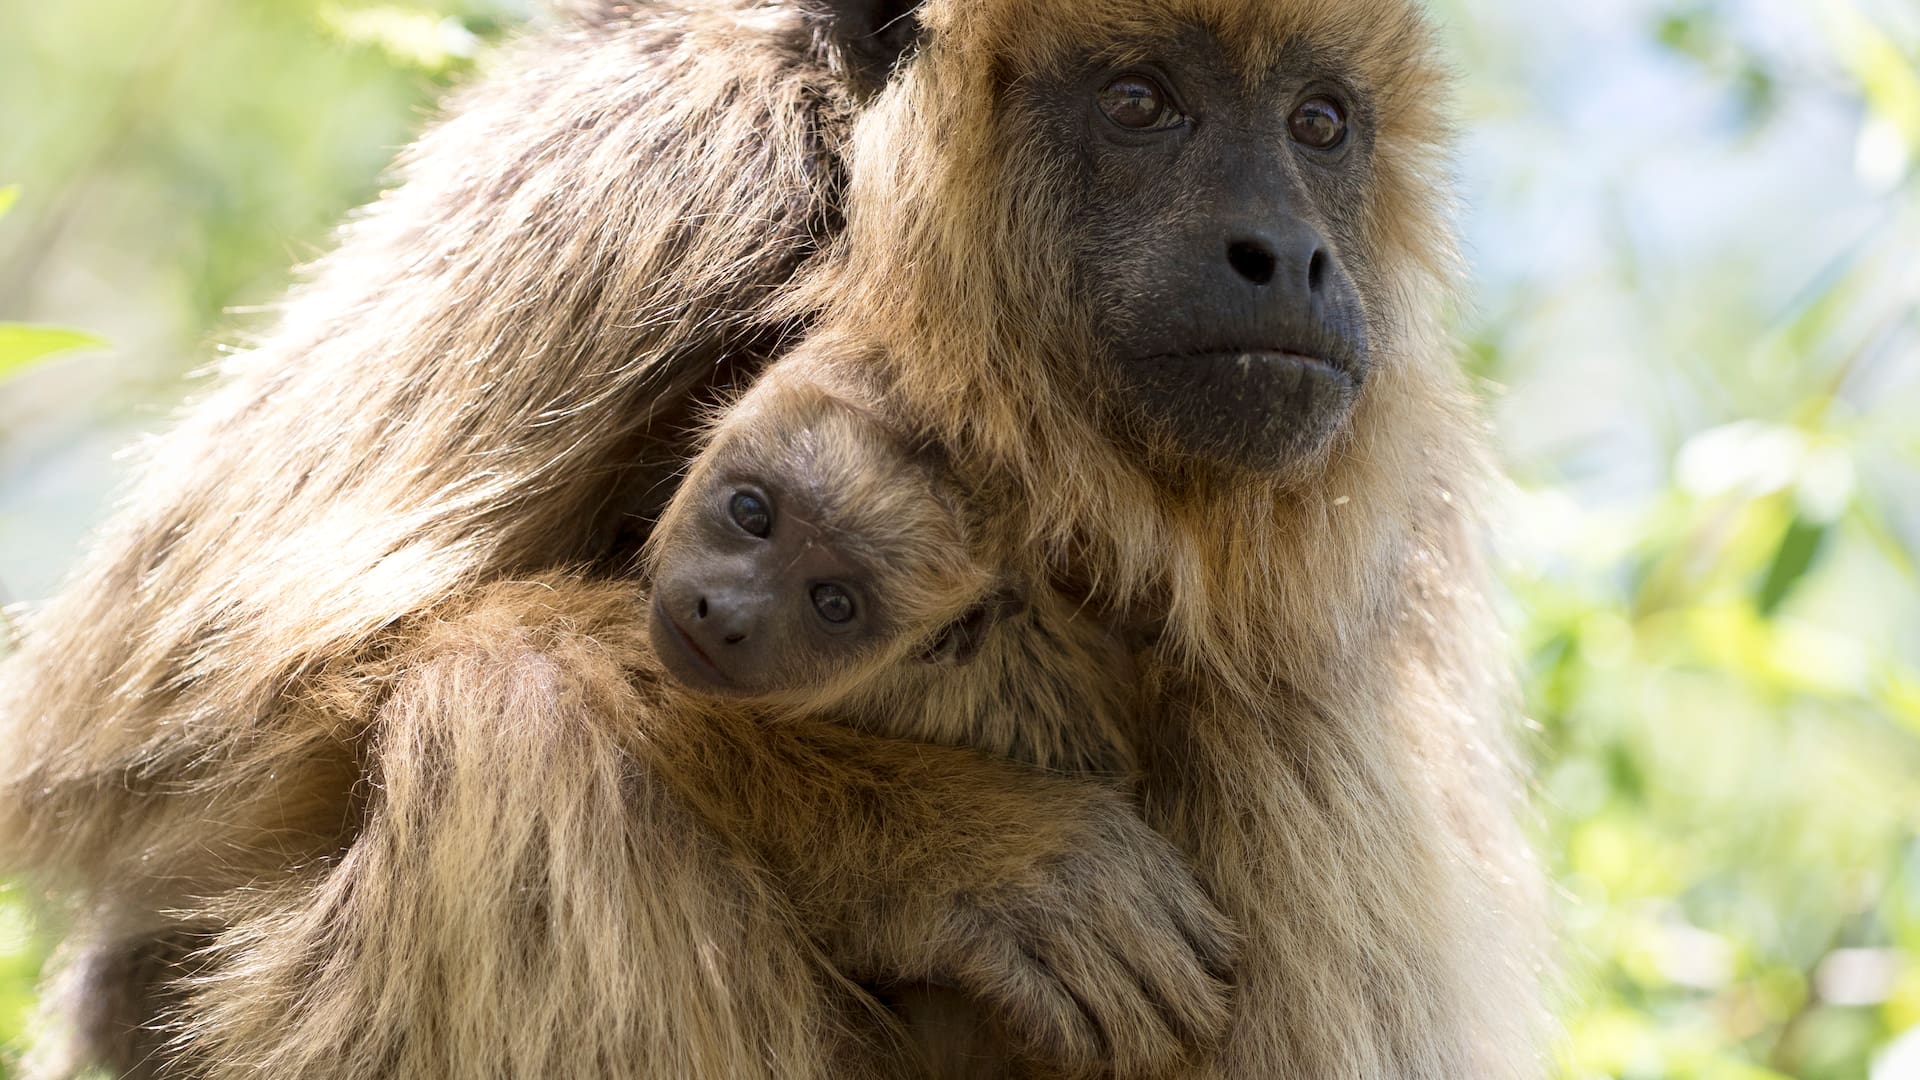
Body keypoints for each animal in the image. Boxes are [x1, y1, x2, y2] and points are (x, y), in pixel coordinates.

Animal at [0, 0, 1551, 1077]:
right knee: (510, 710)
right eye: (1139, 101)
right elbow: (167, 752)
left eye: (1320, 123)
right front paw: (962, 850)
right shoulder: (658, 153)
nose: (1286, 255)